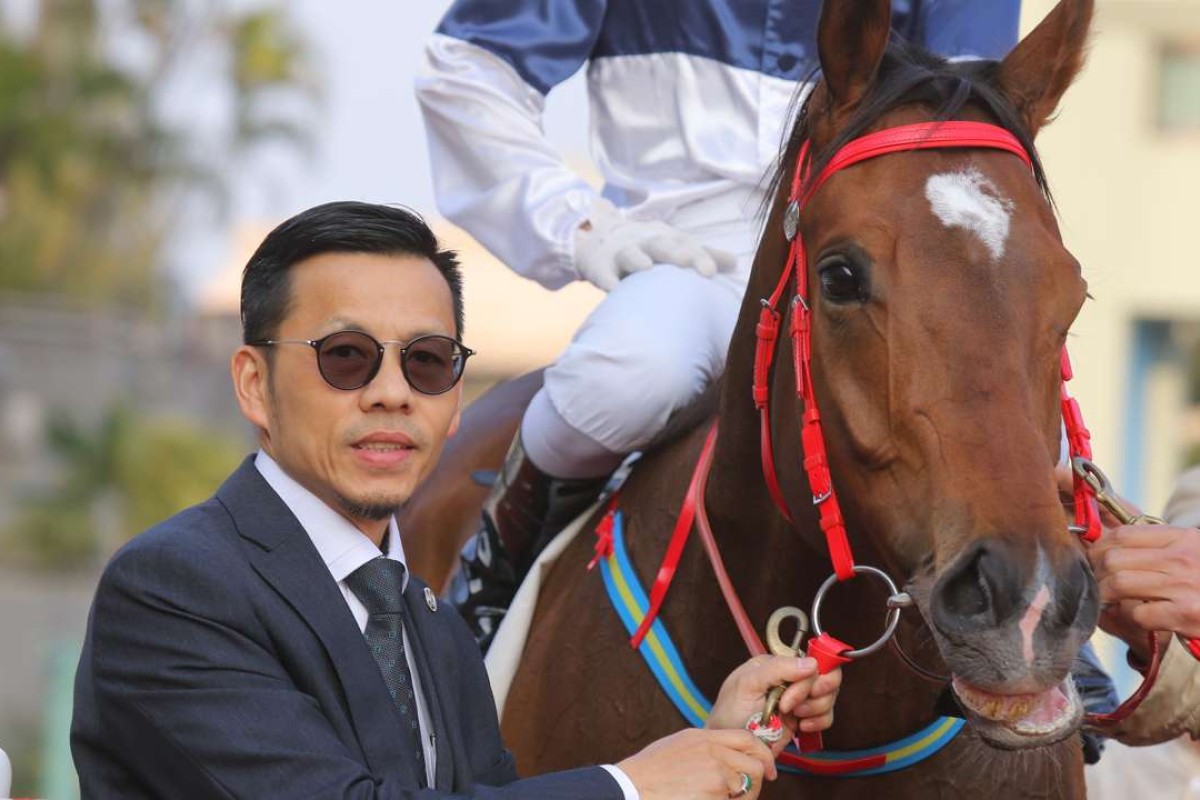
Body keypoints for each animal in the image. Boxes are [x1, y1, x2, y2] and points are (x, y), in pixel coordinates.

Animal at [398, 1, 1099, 796]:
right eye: (839, 276)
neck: (846, 738)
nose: (1028, 607)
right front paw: (618, 242)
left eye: (1073, 290)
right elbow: (474, 66)